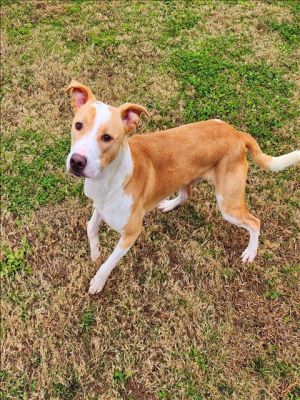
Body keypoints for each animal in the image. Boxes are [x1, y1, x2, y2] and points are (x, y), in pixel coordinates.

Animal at [66, 80, 300, 294]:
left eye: (107, 137)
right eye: (78, 125)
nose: (76, 162)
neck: (108, 177)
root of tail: (237, 134)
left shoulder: (131, 234)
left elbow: (109, 263)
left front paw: (98, 281)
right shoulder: (100, 205)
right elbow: (90, 227)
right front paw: (95, 252)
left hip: (228, 205)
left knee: (254, 222)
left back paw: (250, 252)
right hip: (190, 176)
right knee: (187, 194)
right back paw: (169, 204)